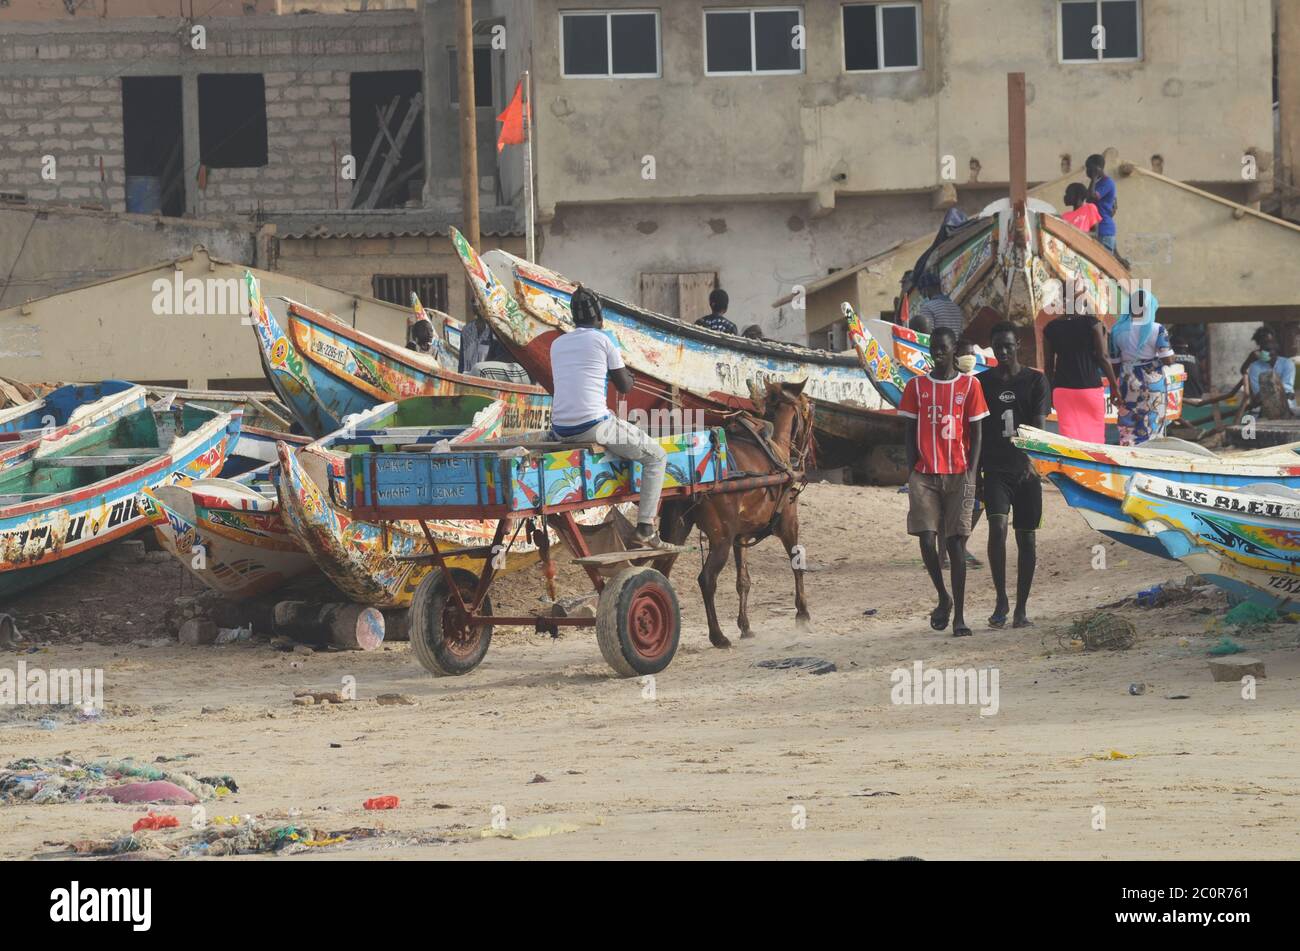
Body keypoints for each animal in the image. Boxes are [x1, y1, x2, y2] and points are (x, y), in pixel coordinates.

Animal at [660, 379, 811, 646]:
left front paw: (745, 625)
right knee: (707, 579)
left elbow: (743, 581)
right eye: (806, 409)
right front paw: (802, 613)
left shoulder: (740, 536)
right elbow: (796, 563)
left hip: (677, 529)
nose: (804, 451)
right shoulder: (788, 523)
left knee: (661, 571)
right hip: (721, 537)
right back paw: (717, 635)